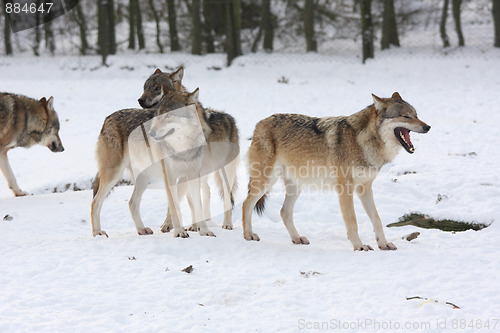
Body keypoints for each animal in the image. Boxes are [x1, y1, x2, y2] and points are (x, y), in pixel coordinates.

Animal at [139, 67, 240, 231]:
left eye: (156, 88)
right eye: (145, 88)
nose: (140, 100)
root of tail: (230, 118)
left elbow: (178, 200)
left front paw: (171, 225)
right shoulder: (176, 171)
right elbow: (185, 200)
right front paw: (190, 225)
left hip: (225, 172)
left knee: (226, 197)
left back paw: (227, 224)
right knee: (206, 192)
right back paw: (205, 220)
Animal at [241, 92, 430, 250]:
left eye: (416, 115)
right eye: (405, 116)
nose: (428, 127)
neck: (362, 141)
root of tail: (260, 123)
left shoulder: (365, 188)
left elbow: (377, 219)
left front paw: (383, 244)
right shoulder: (345, 189)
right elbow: (352, 221)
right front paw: (359, 246)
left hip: (295, 186)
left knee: (284, 212)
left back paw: (297, 238)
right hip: (266, 182)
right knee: (246, 203)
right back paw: (248, 234)